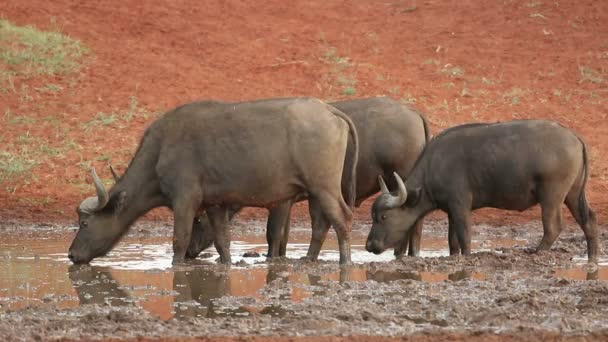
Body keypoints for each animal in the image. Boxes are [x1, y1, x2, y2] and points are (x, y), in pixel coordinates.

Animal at [69, 97, 358, 266]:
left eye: (84, 223)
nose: (71, 254)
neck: (161, 150)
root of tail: (328, 109)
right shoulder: (215, 204)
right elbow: (222, 241)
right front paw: (226, 263)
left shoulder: (185, 200)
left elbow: (180, 239)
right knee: (323, 223)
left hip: (324, 187)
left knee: (342, 218)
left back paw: (345, 262)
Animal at [188, 96, 430, 262]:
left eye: (198, 221)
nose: (189, 251)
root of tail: (413, 112)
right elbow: (285, 235)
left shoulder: (281, 202)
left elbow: (273, 232)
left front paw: (271, 258)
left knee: (412, 220)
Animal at [366, 119, 600, 264]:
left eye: (383, 217)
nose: (369, 245)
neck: (435, 164)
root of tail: (574, 137)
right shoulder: (451, 211)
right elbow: (452, 241)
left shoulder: (461, 206)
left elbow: (465, 237)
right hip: (574, 194)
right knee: (588, 220)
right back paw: (592, 259)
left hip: (551, 196)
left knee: (553, 228)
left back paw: (538, 252)